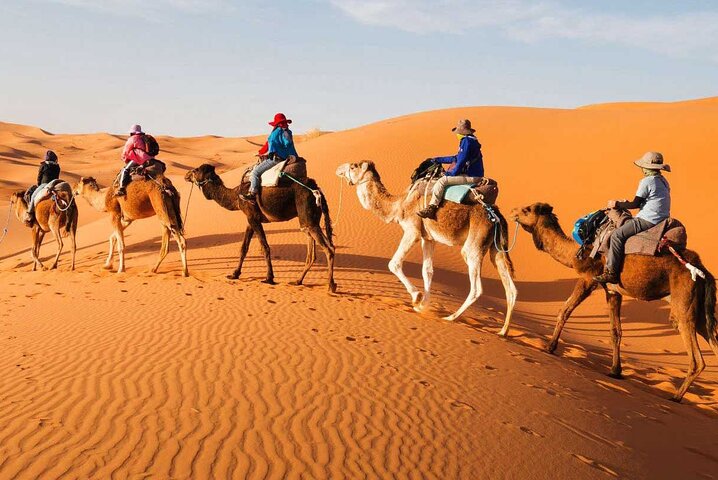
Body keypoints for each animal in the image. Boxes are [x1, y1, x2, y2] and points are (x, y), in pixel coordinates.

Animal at [184, 164, 336, 292]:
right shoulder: (250, 219)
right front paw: (234, 274)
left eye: (196, 170)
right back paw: (298, 281)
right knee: (314, 251)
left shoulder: (253, 217)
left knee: (328, 248)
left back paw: (330, 286)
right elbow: (244, 248)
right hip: (310, 220)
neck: (236, 196)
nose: (186, 175)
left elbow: (265, 247)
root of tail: (317, 190)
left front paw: (269, 278)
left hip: (307, 215)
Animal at [336, 161, 517, 334]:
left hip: (474, 244)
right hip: (496, 248)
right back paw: (503, 331)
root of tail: (497, 216)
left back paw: (450, 317)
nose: (338, 169)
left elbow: (394, 263)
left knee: (476, 287)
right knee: (510, 288)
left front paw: (417, 298)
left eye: (354, 166)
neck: (399, 204)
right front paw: (423, 305)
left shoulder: (413, 231)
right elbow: (427, 271)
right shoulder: (428, 238)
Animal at [511, 202, 718, 402]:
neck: (576, 252)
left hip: (683, 303)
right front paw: (615, 371)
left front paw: (550, 347)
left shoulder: (588, 278)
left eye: (527, 210)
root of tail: (703, 271)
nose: (513, 212)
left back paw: (676, 396)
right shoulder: (612, 290)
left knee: (696, 357)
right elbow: (615, 331)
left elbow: (565, 310)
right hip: (699, 310)